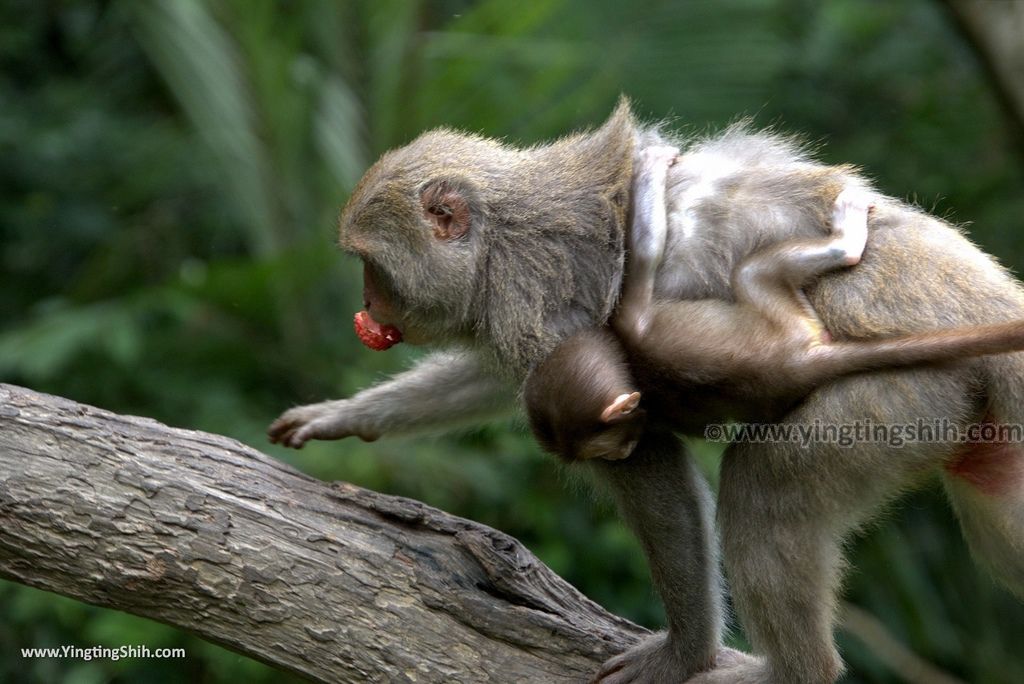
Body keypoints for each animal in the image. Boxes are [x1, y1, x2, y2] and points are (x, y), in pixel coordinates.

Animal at [532, 147, 1024, 462]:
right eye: (614, 448)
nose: (626, 454)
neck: (633, 367)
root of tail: (797, 360)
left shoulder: (629, 327)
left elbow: (646, 252)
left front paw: (649, 169)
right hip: (787, 321)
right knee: (752, 275)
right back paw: (846, 244)